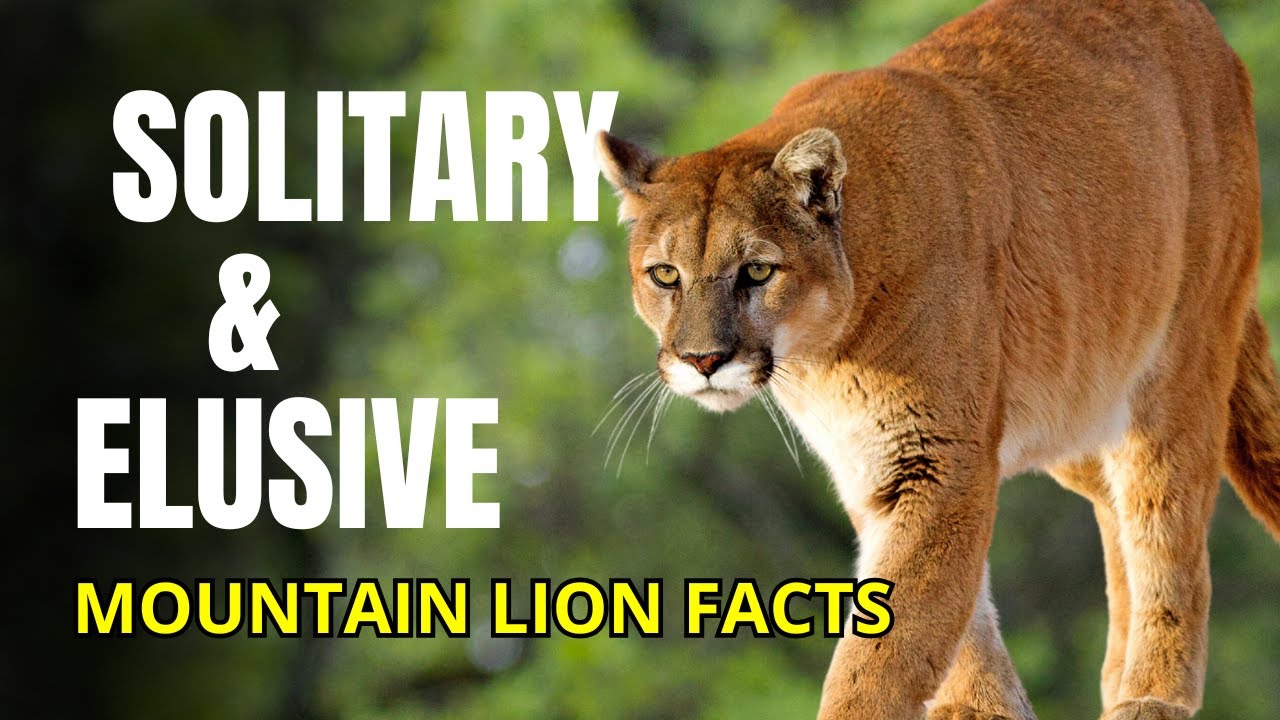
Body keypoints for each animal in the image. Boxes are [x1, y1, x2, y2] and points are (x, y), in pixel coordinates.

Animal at [595, 1, 1280, 718]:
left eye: (757, 270)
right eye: (665, 274)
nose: (703, 359)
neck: (823, 356)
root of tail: (1206, 27)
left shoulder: (940, 457)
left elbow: (890, 640)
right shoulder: (877, 466)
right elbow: (947, 615)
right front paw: (987, 708)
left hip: (1177, 365)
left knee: (1166, 528)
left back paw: (1149, 695)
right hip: (1077, 399)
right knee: (1114, 507)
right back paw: (1115, 679)